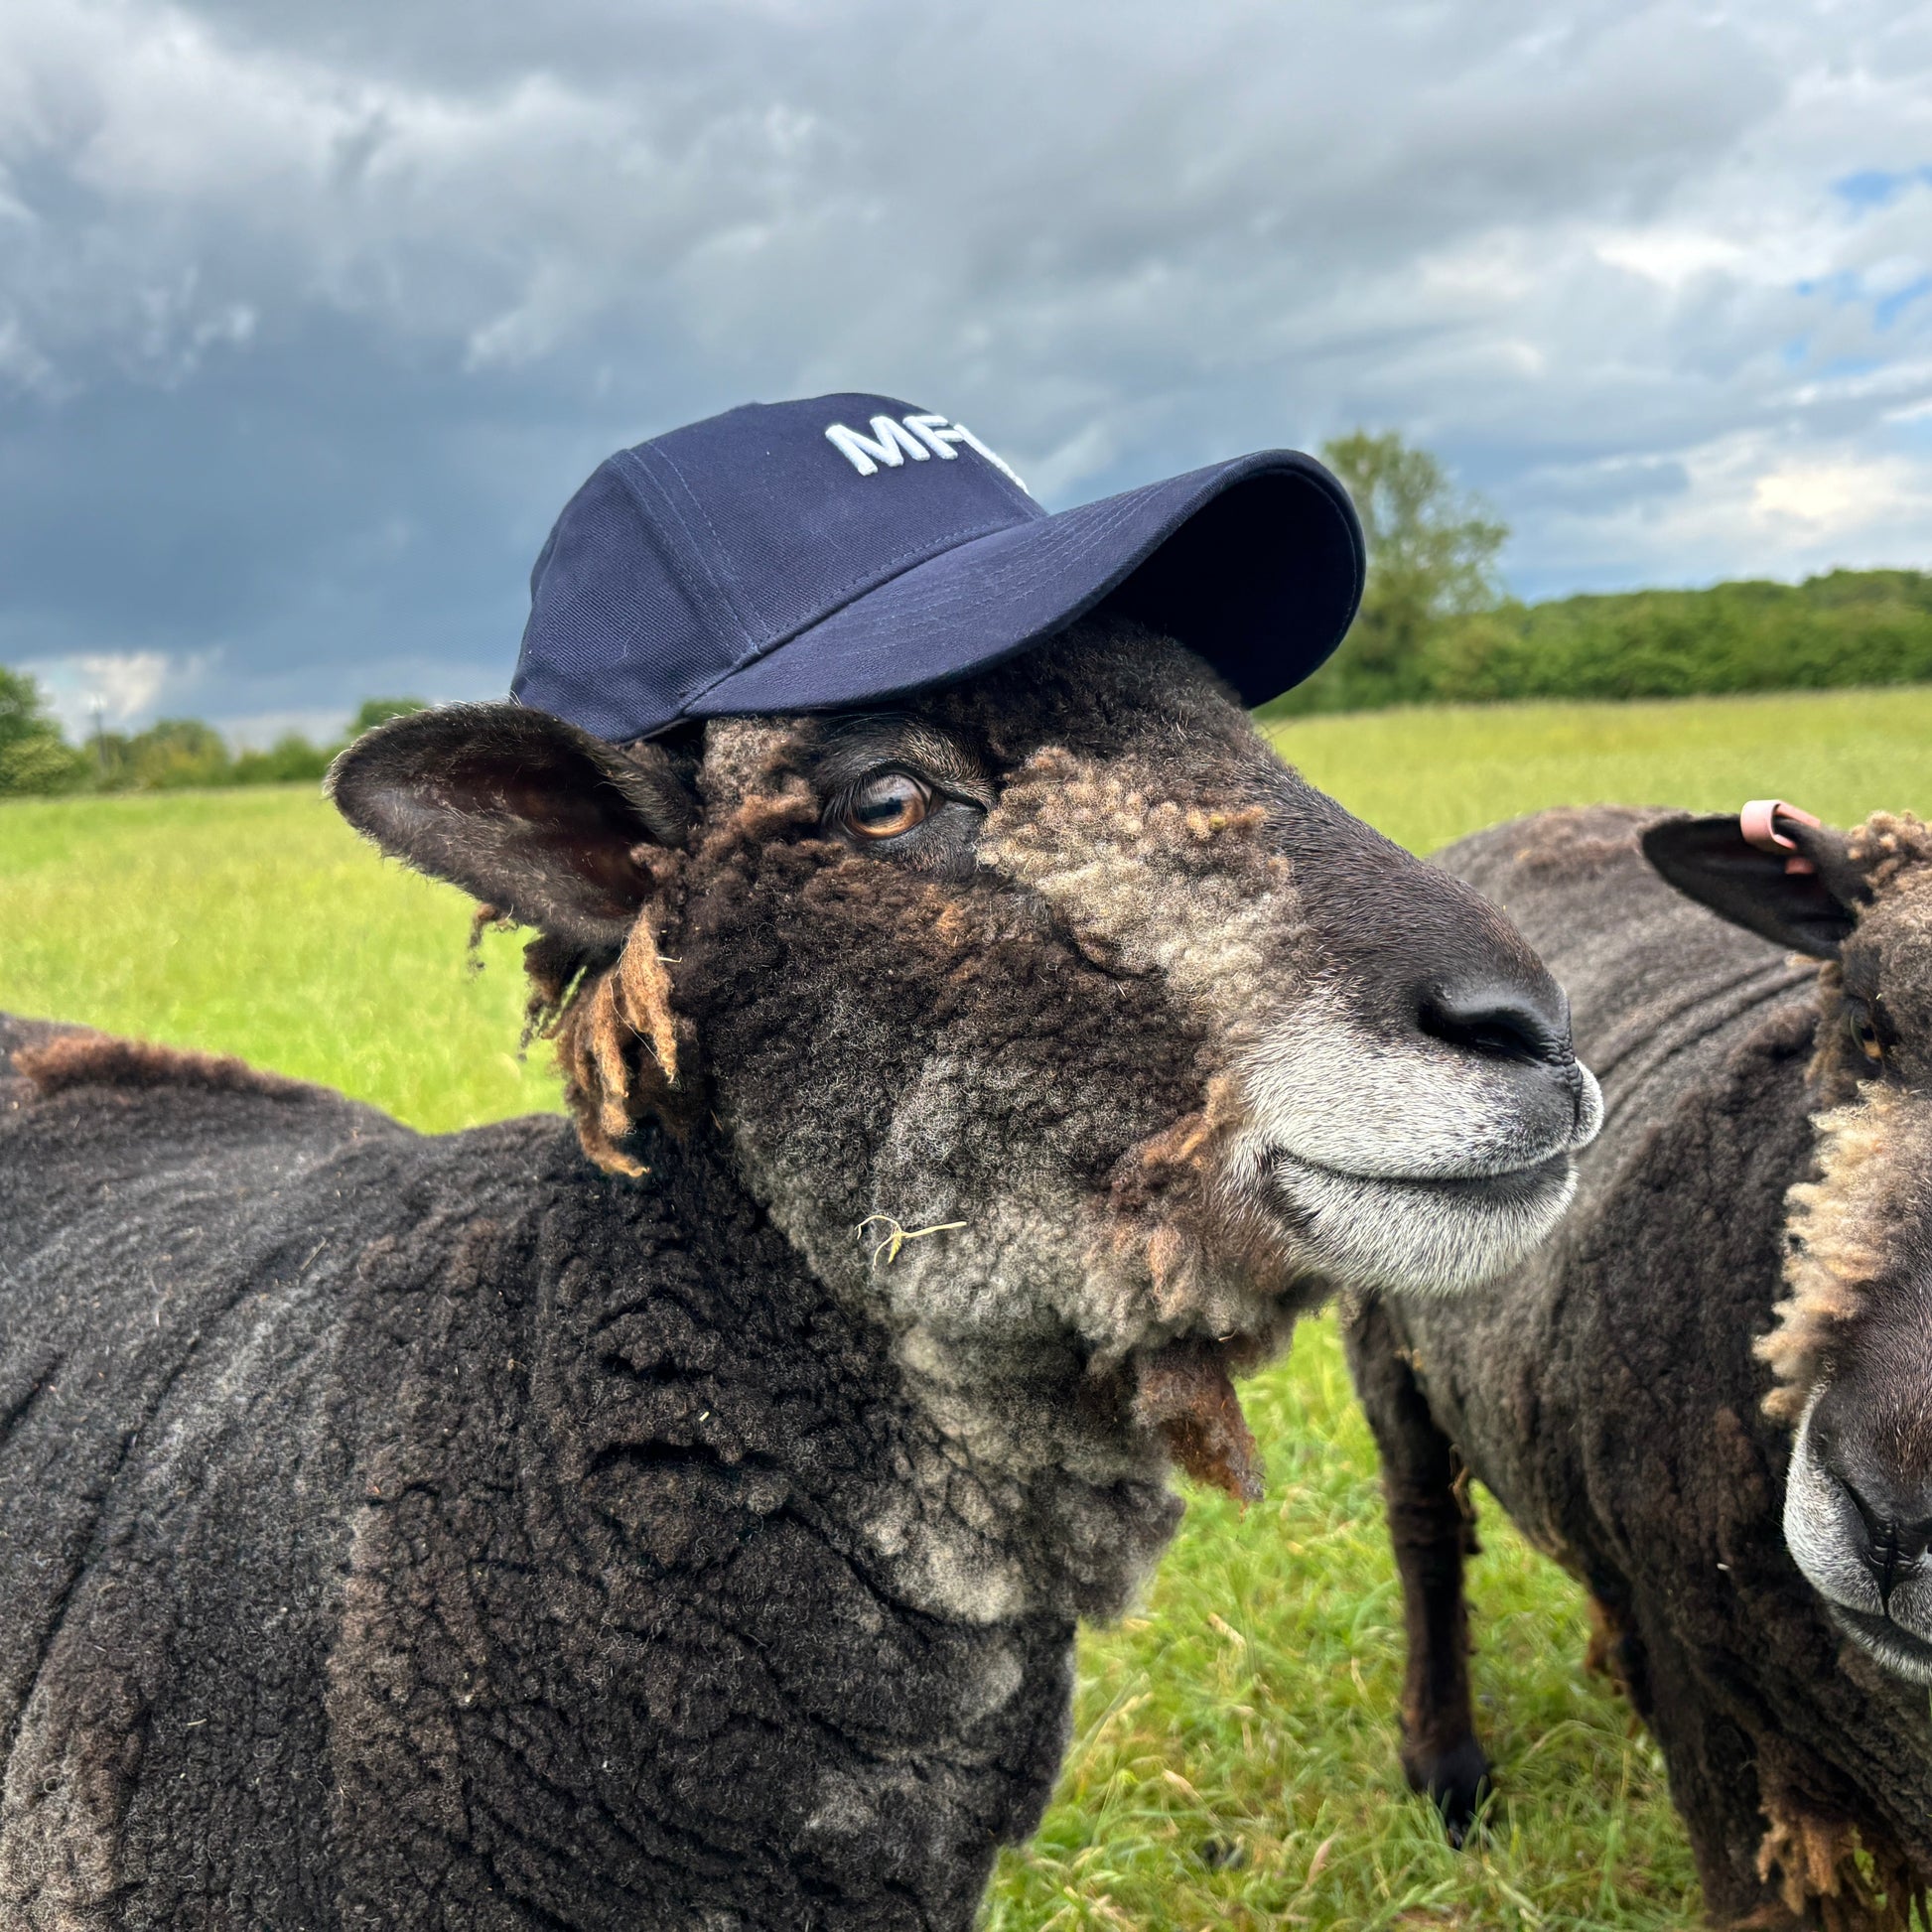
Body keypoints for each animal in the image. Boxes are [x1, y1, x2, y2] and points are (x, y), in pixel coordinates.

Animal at [1345, 800, 1932, 1930]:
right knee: (1423, 1531)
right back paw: (1446, 1771)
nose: (1896, 1524)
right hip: (1383, 1331)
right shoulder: (1730, 1742)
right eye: (1869, 1027)